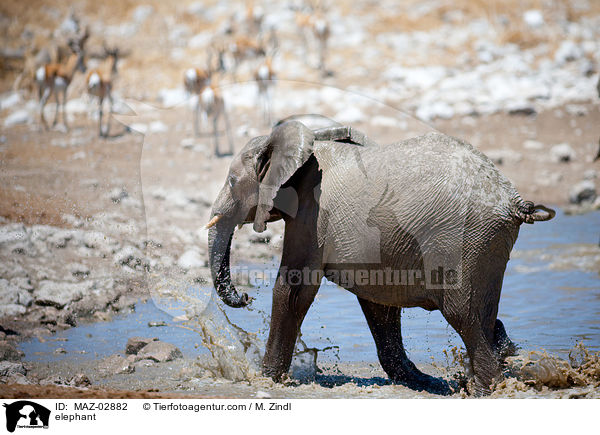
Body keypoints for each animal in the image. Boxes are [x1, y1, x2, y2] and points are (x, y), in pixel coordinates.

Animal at [206, 115, 552, 396]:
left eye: (233, 183)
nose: (245, 297)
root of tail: (514, 201)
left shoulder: (311, 213)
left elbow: (293, 289)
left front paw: (267, 379)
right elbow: (378, 301)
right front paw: (422, 381)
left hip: (463, 236)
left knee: (462, 313)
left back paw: (483, 389)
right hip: (485, 242)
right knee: (483, 313)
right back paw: (499, 353)